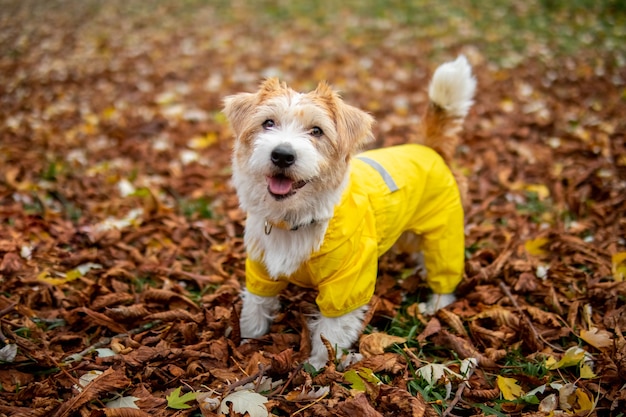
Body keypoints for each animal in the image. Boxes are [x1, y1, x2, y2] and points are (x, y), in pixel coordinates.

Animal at [223, 55, 472, 368]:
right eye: (268, 123)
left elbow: (331, 330)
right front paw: (247, 342)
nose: (282, 154)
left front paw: (318, 366)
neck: (296, 218)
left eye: (317, 131)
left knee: (444, 268)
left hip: (444, 231)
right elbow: (255, 307)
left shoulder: (346, 283)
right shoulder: (260, 269)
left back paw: (437, 303)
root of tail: (429, 148)